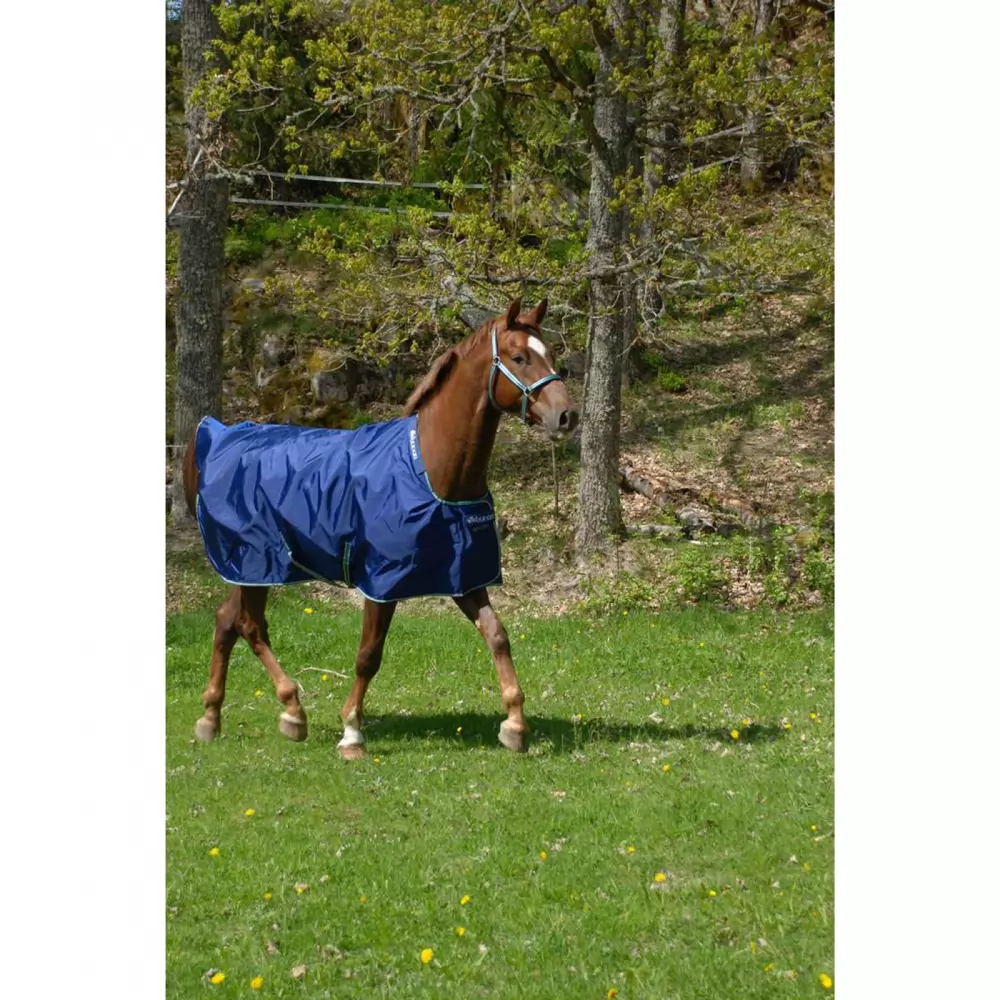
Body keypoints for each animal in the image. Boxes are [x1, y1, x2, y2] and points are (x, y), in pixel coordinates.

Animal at [181, 297, 578, 759]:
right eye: (519, 358)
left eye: (550, 353)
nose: (566, 416)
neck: (430, 468)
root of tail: (214, 436)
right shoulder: (382, 582)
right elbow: (369, 654)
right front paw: (351, 732)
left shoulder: (462, 575)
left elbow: (497, 635)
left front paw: (514, 724)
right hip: (255, 563)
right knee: (247, 625)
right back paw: (289, 709)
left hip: (250, 569)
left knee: (229, 621)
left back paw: (220, 717)